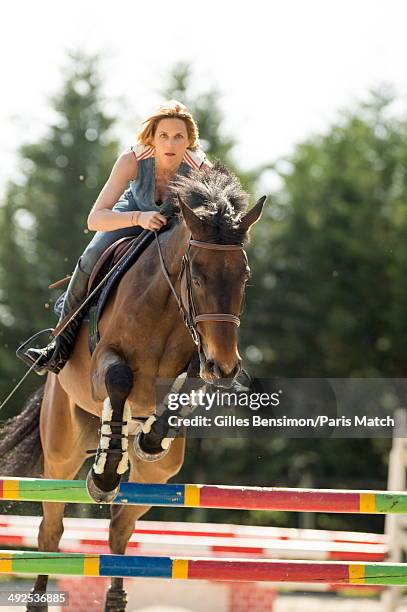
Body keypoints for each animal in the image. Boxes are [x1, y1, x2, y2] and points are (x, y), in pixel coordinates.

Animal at [0, 163, 266, 612]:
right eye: (197, 275)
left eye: (244, 276)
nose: (226, 367)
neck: (166, 306)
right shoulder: (103, 366)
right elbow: (119, 379)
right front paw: (105, 473)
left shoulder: (194, 364)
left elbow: (187, 386)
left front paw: (149, 437)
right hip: (61, 451)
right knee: (51, 529)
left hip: (157, 478)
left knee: (120, 529)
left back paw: (115, 596)